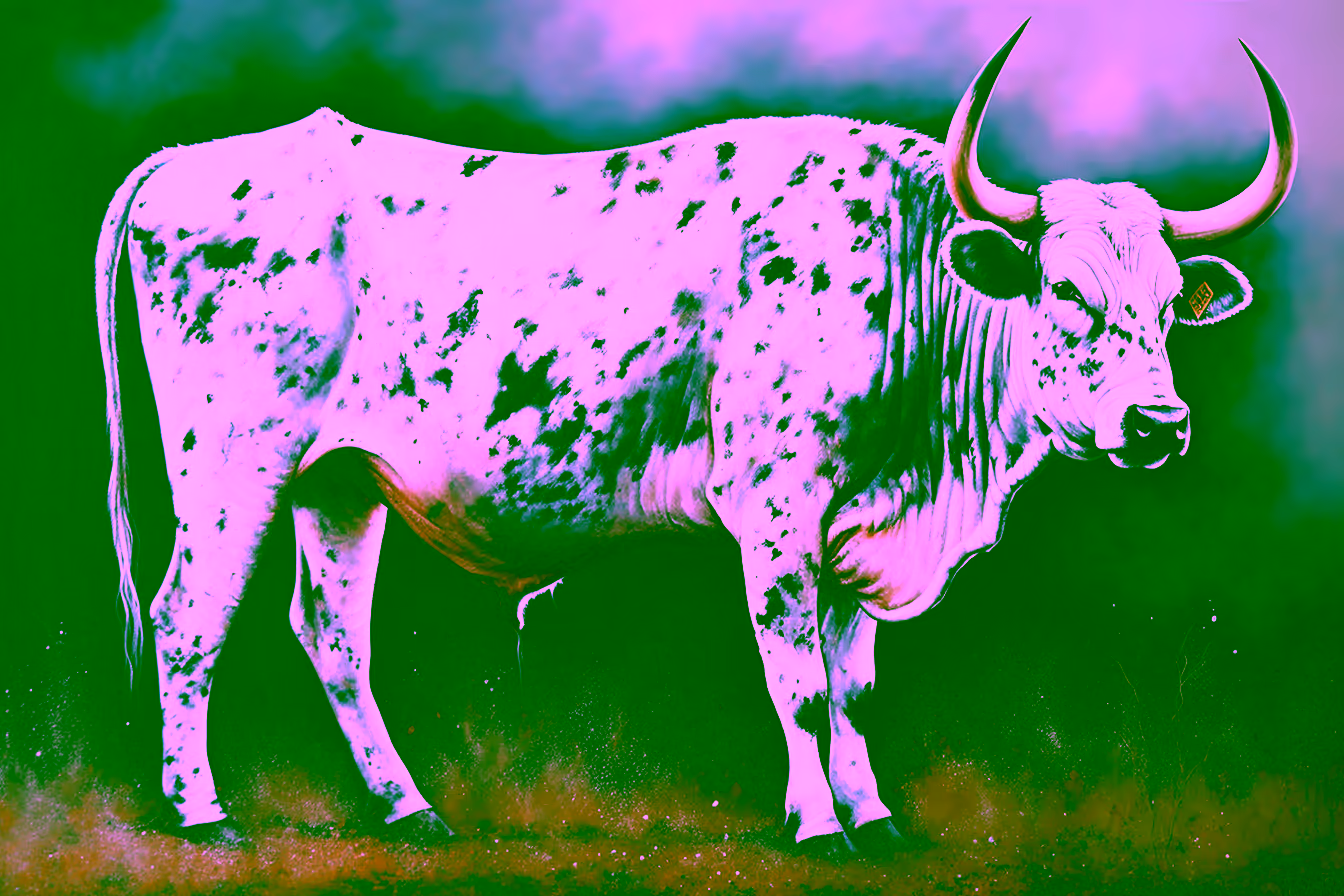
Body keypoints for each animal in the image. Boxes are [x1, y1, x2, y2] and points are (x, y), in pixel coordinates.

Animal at [96, 20, 1294, 853]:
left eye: (1168, 303)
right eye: (1066, 291)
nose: (1159, 422)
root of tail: (186, 157)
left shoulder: (853, 528)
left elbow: (852, 683)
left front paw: (877, 820)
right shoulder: (776, 508)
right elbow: (797, 677)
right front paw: (820, 827)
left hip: (336, 482)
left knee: (333, 635)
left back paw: (410, 810)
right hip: (230, 463)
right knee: (188, 615)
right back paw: (201, 814)